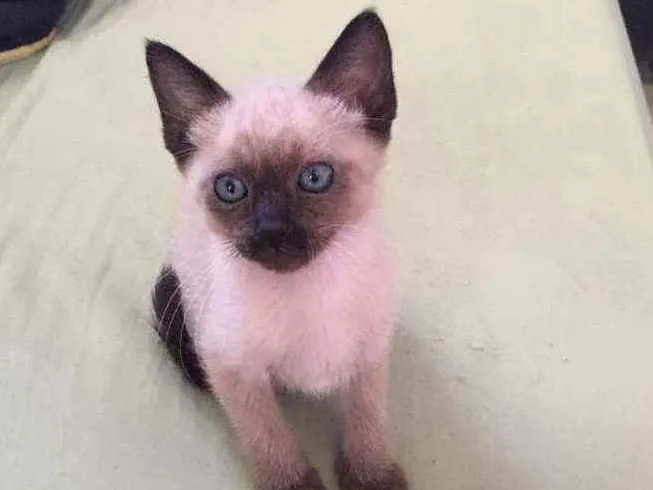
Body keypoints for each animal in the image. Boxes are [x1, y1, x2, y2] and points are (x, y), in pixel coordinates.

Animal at [148, 9, 406, 490]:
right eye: (231, 189)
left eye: (314, 178)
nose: (272, 231)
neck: (308, 291)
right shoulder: (233, 369)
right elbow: (270, 439)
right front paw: (295, 482)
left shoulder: (370, 352)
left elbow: (368, 420)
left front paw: (372, 478)